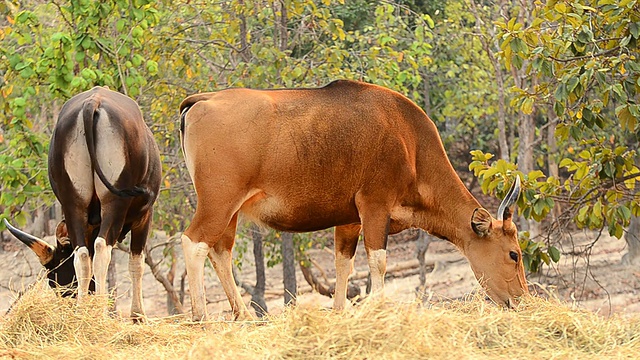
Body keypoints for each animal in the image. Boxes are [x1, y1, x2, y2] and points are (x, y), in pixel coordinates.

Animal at [4, 87, 161, 320]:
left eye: (56, 280)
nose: (66, 302)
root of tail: (91, 104)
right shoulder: (144, 215)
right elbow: (136, 262)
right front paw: (138, 316)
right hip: (114, 201)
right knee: (101, 248)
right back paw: (103, 313)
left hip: (73, 203)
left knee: (83, 254)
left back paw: (83, 312)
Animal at [178, 79, 528, 320]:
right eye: (514, 254)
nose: (521, 300)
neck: (411, 143)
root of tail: (203, 99)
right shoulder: (375, 205)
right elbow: (378, 260)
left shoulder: (348, 220)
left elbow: (343, 264)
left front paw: (339, 312)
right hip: (219, 202)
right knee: (193, 242)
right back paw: (201, 316)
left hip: (232, 210)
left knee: (220, 251)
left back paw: (243, 315)